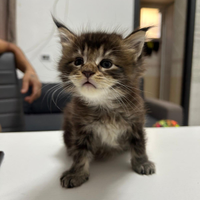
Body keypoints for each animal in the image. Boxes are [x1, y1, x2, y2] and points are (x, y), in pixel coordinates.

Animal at [52, 18, 155, 188]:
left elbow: (139, 143)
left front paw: (142, 163)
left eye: (106, 64)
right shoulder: (80, 125)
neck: (105, 105)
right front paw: (77, 173)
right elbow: (80, 151)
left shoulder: (136, 120)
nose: (87, 71)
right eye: (78, 61)